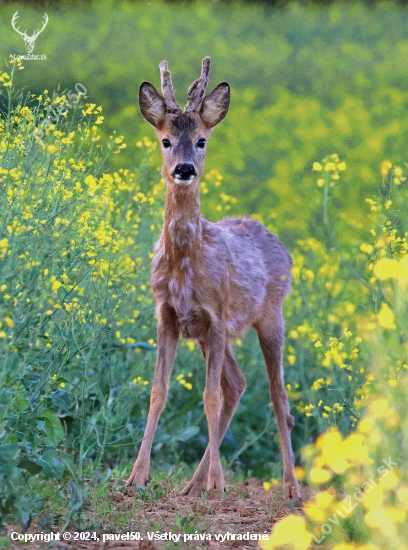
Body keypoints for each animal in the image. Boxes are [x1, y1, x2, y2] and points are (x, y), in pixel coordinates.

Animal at [126, 57, 302, 500]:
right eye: (166, 141)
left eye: (202, 140)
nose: (184, 169)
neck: (186, 264)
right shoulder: (169, 316)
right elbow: (158, 392)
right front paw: (137, 477)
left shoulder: (218, 315)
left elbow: (209, 397)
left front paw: (219, 484)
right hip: (208, 337)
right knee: (238, 384)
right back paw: (193, 483)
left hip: (270, 317)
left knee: (277, 396)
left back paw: (290, 486)